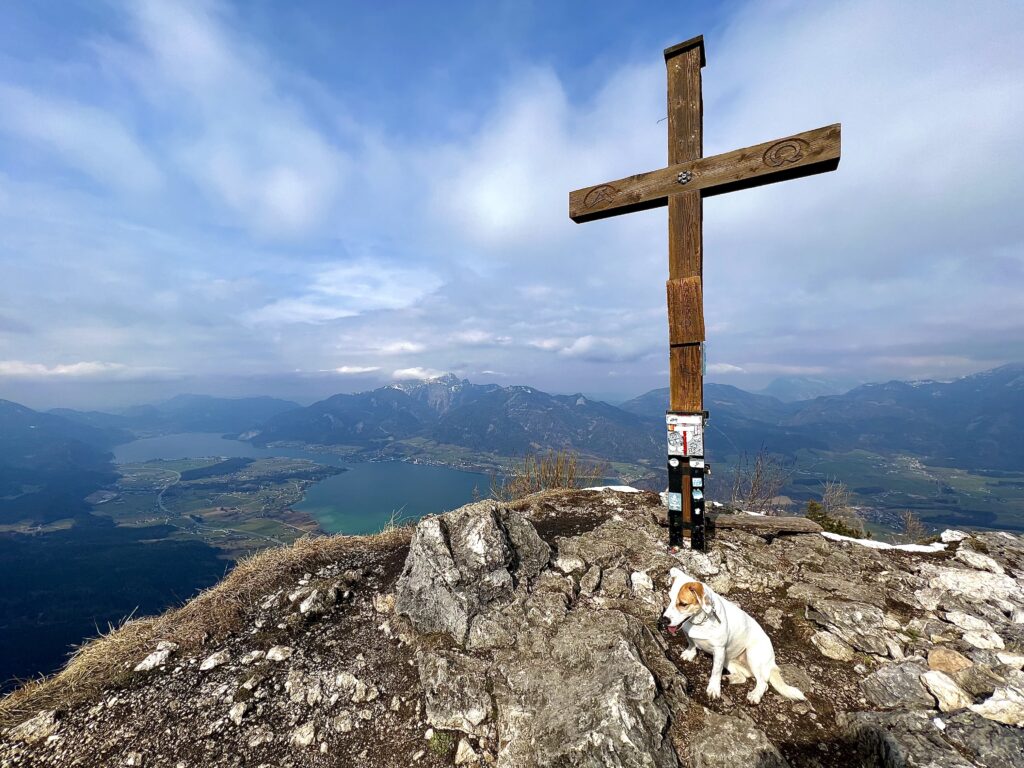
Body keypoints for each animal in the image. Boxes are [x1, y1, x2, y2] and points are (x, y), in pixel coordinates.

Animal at [659, 569, 802, 708]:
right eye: (669, 599)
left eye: (683, 604)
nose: (664, 619)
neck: (700, 622)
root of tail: (772, 663)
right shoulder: (689, 634)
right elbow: (691, 643)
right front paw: (689, 653)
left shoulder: (719, 650)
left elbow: (715, 672)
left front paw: (713, 689)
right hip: (729, 660)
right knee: (744, 677)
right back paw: (728, 678)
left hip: (752, 656)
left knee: (763, 683)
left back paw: (754, 695)